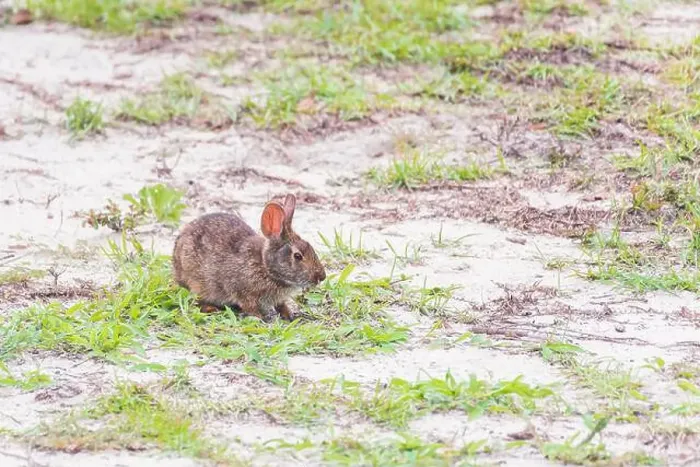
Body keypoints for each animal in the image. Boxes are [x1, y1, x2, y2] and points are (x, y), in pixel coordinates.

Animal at [172, 194, 326, 321]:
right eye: (298, 256)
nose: (321, 277)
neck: (265, 266)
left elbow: (281, 305)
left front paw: (290, 315)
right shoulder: (243, 293)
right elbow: (250, 307)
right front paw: (261, 318)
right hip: (197, 283)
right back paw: (211, 309)